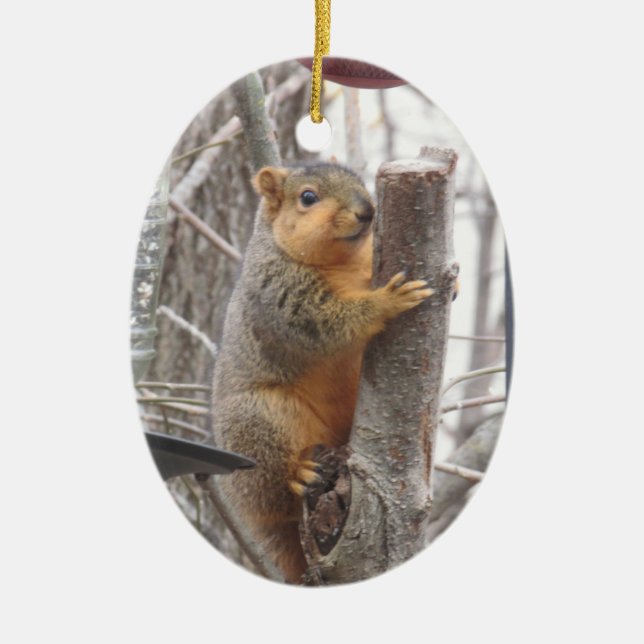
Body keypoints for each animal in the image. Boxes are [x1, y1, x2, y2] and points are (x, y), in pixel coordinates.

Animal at [211, 163, 433, 583]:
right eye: (308, 197)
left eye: (361, 181)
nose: (367, 210)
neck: (344, 263)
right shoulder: (281, 296)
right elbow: (328, 323)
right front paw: (388, 300)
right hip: (259, 419)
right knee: (272, 492)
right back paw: (297, 475)